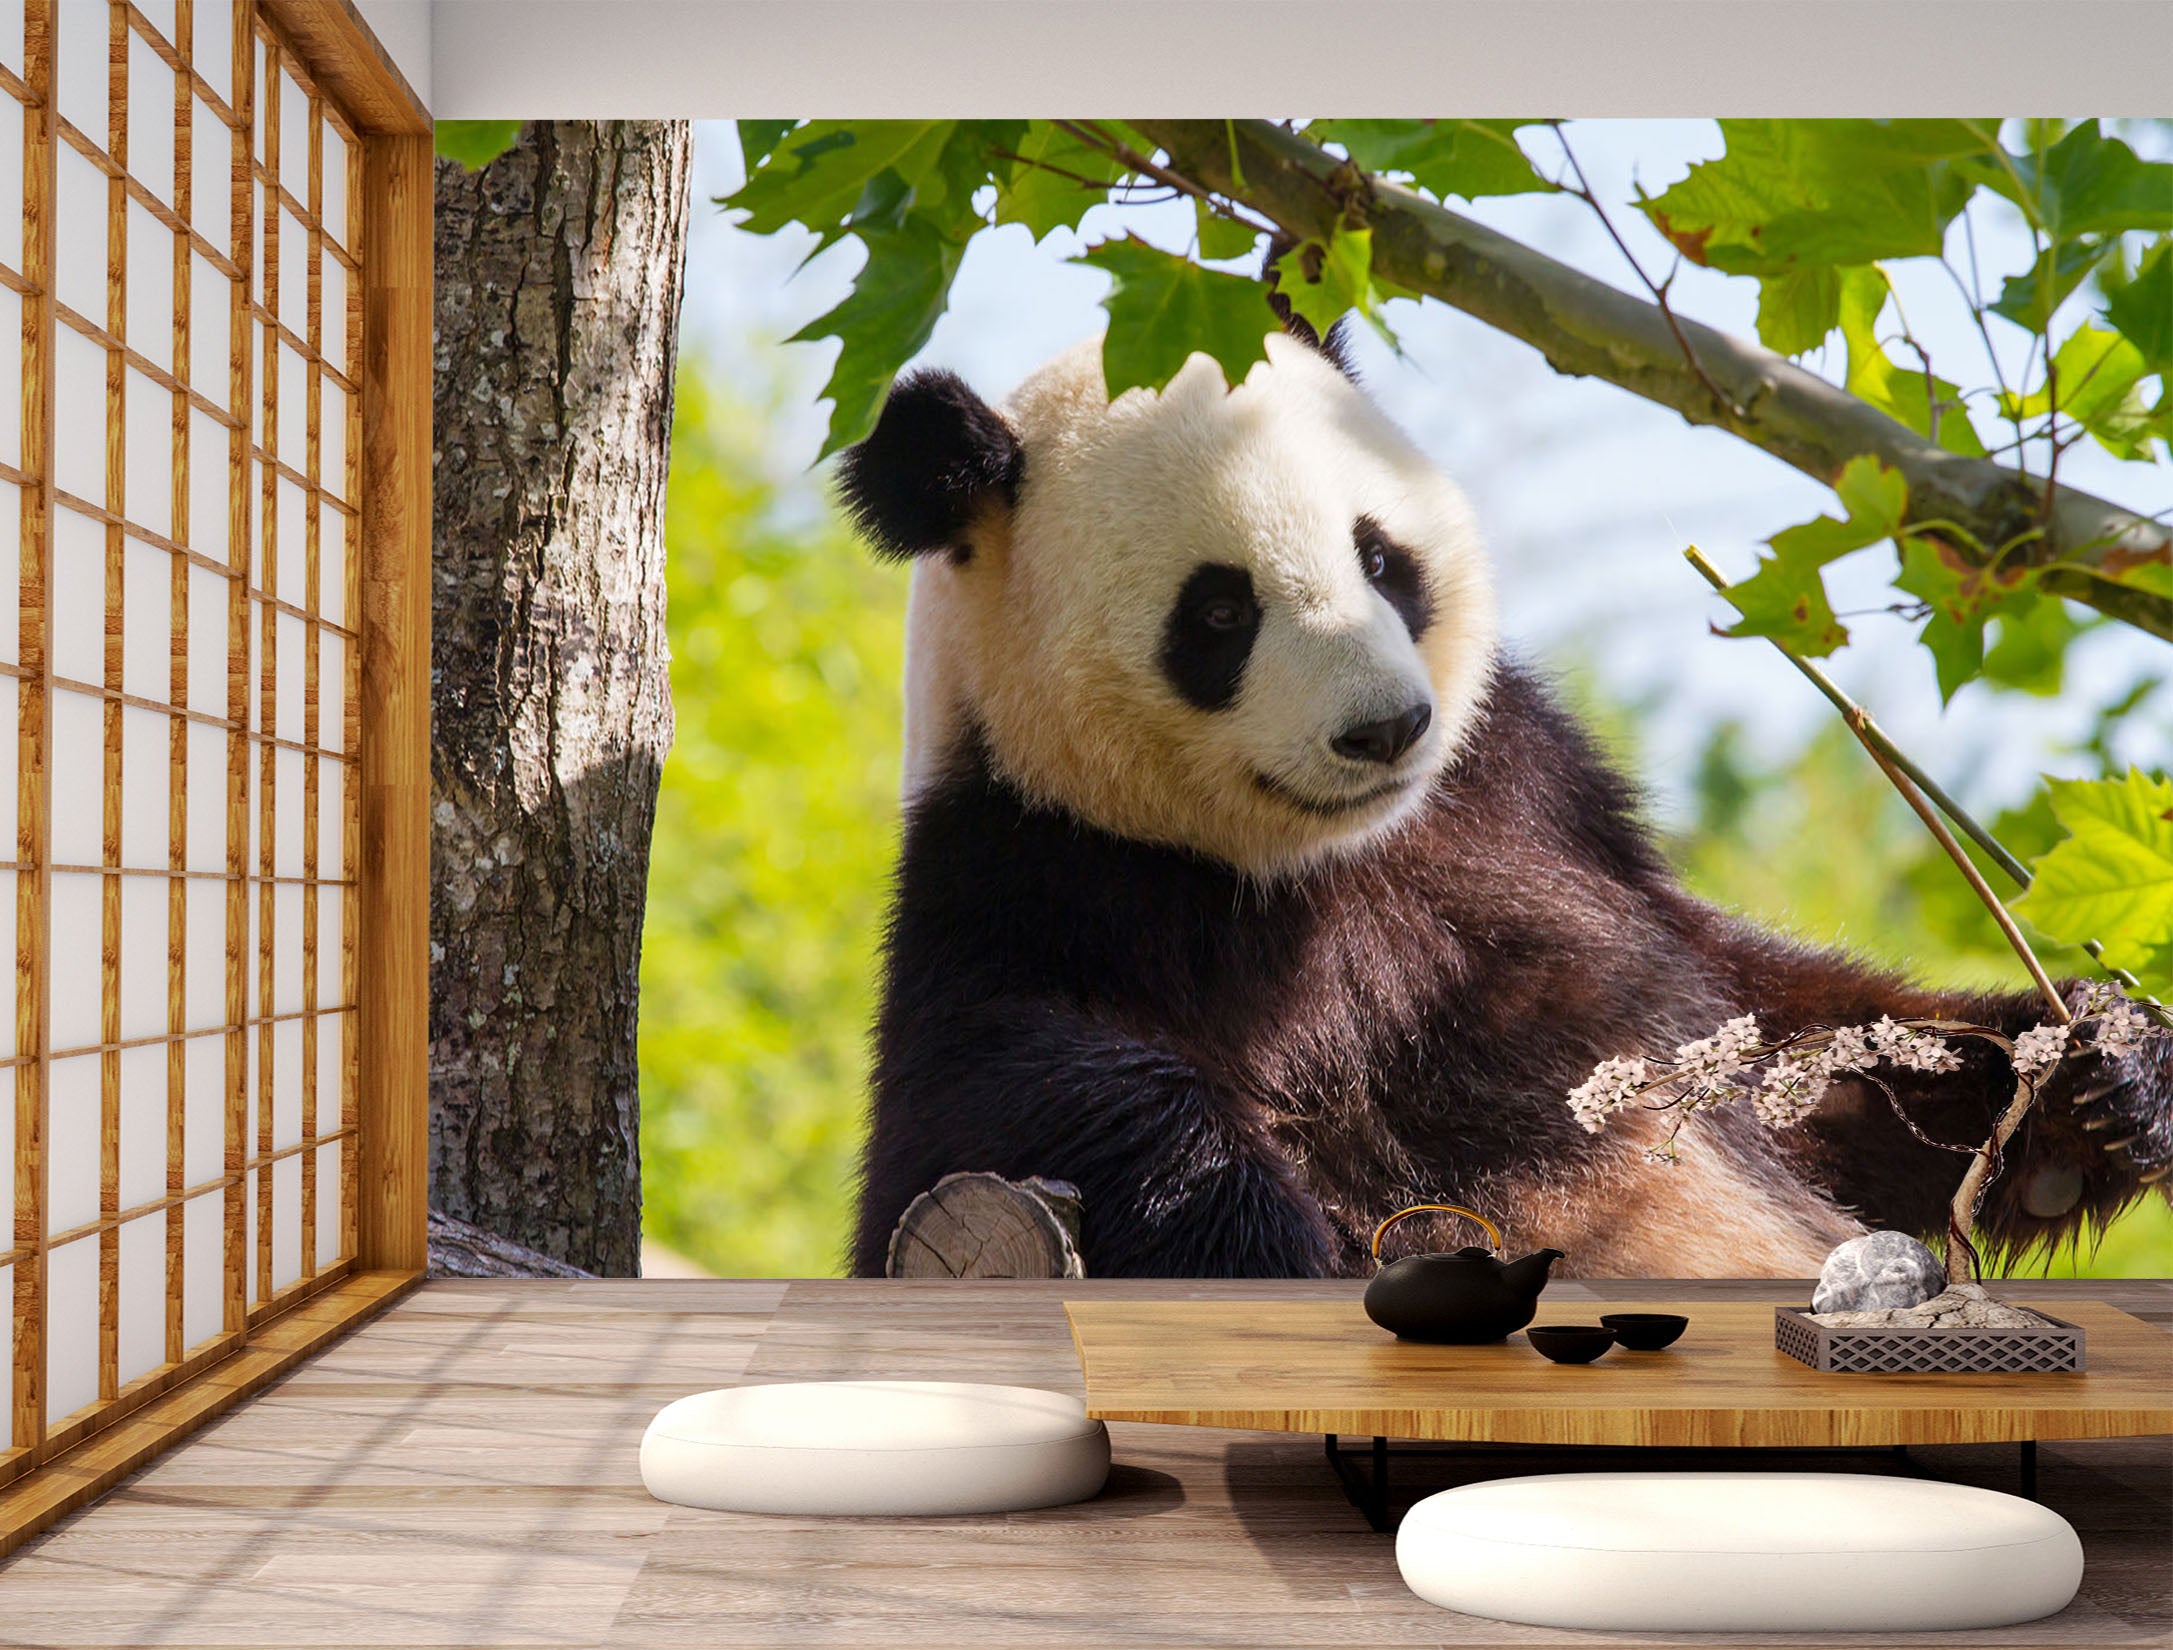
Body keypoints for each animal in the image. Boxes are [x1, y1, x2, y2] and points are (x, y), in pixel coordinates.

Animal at [836, 328, 2172, 1279]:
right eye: (1218, 612)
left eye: (1381, 558)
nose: (1385, 729)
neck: (1319, 862)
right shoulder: (1038, 880)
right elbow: (1005, 1104)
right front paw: (1246, 1224)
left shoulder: (1539, 820)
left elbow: (1801, 1059)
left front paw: (2103, 1076)